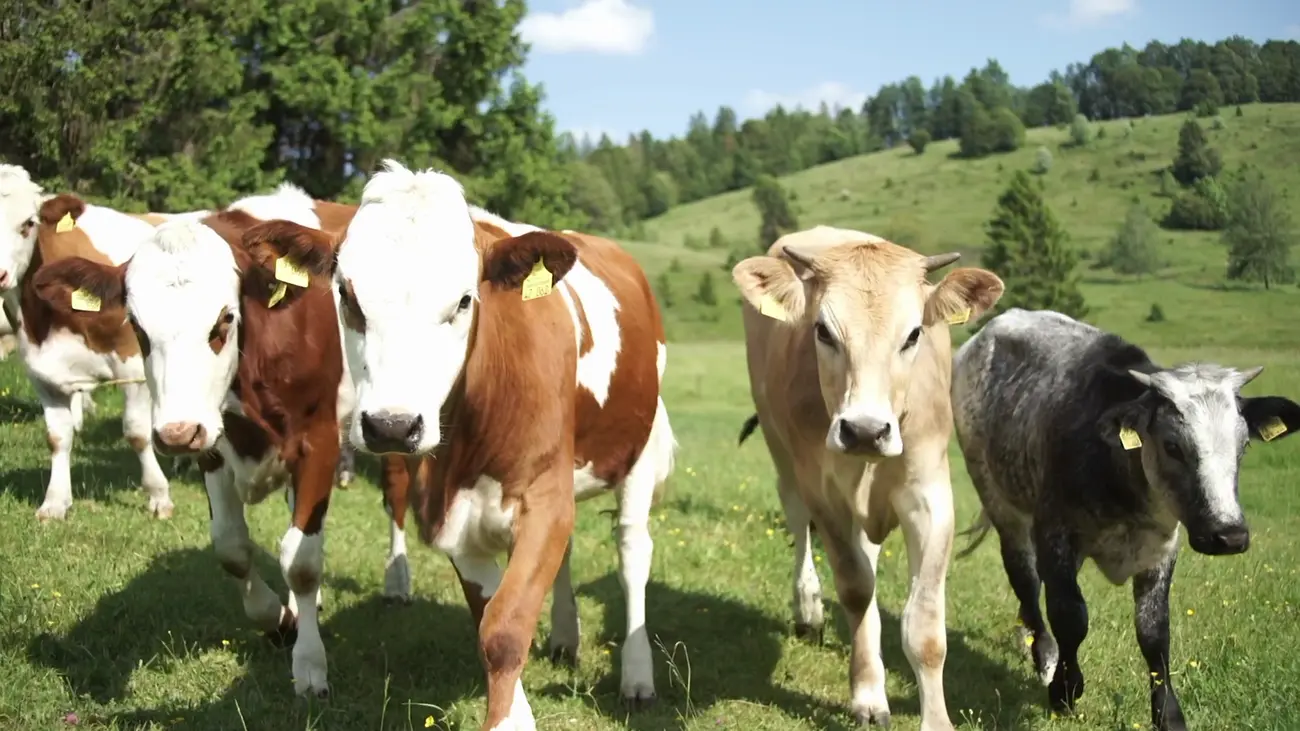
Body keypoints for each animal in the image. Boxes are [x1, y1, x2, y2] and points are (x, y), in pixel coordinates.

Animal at [31, 205, 360, 699]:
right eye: (137, 327)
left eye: (224, 320)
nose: (175, 434)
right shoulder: (212, 447)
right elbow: (231, 548)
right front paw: (279, 619)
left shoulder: (317, 443)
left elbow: (301, 561)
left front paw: (310, 665)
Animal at [246, 159, 677, 729]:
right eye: (347, 296)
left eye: (464, 300)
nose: (392, 426)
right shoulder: (451, 515)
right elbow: (491, 624)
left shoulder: (543, 497)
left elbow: (506, 627)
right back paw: (565, 636)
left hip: (639, 451)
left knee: (632, 552)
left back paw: (637, 674)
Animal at [732, 225, 1004, 731]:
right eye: (823, 330)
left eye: (914, 333)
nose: (863, 430)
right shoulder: (823, 495)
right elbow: (856, 590)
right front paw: (867, 695)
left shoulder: (931, 497)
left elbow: (924, 627)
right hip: (783, 460)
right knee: (800, 526)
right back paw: (809, 608)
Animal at [950, 308, 1300, 731]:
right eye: (1172, 446)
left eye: (1243, 445)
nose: (1229, 535)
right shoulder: (1055, 535)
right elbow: (1071, 615)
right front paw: (1064, 689)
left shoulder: (1162, 549)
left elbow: (1154, 631)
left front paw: (1168, 713)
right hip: (1001, 503)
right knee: (1026, 581)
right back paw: (1044, 655)